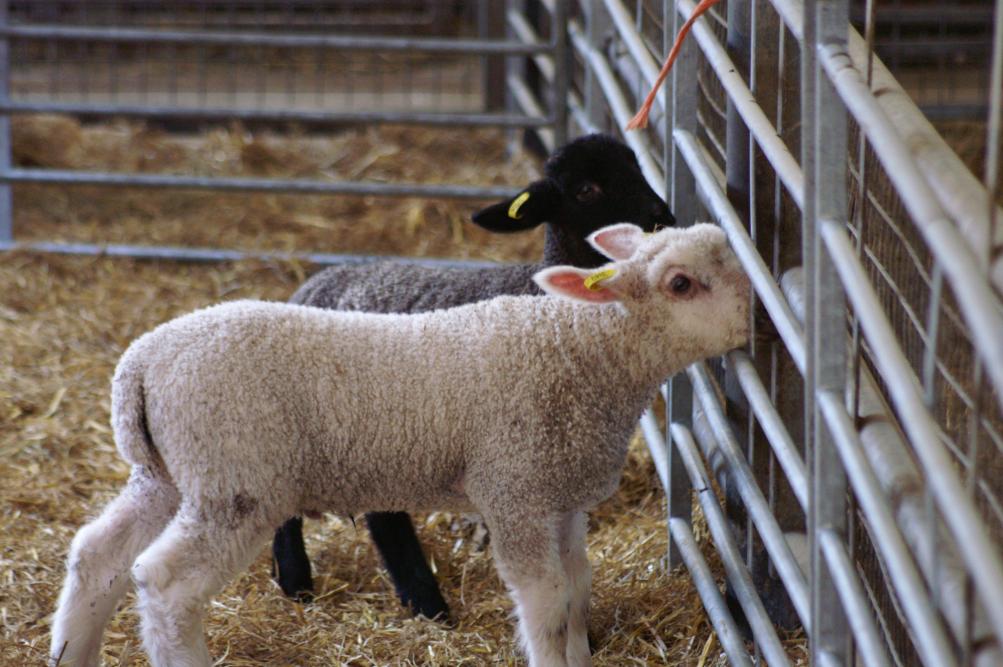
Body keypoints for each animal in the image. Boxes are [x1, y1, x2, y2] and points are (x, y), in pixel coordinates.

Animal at [50, 222, 749, 667]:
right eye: (681, 284)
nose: (754, 322)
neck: (579, 348)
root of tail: (141, 363)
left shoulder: (561, 494)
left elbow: (577, 587)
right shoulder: (514, 490)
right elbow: (546, 600)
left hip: (170, 474)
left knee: (98, 554)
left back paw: (71, 651)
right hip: (236, 481)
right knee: (165, 584)